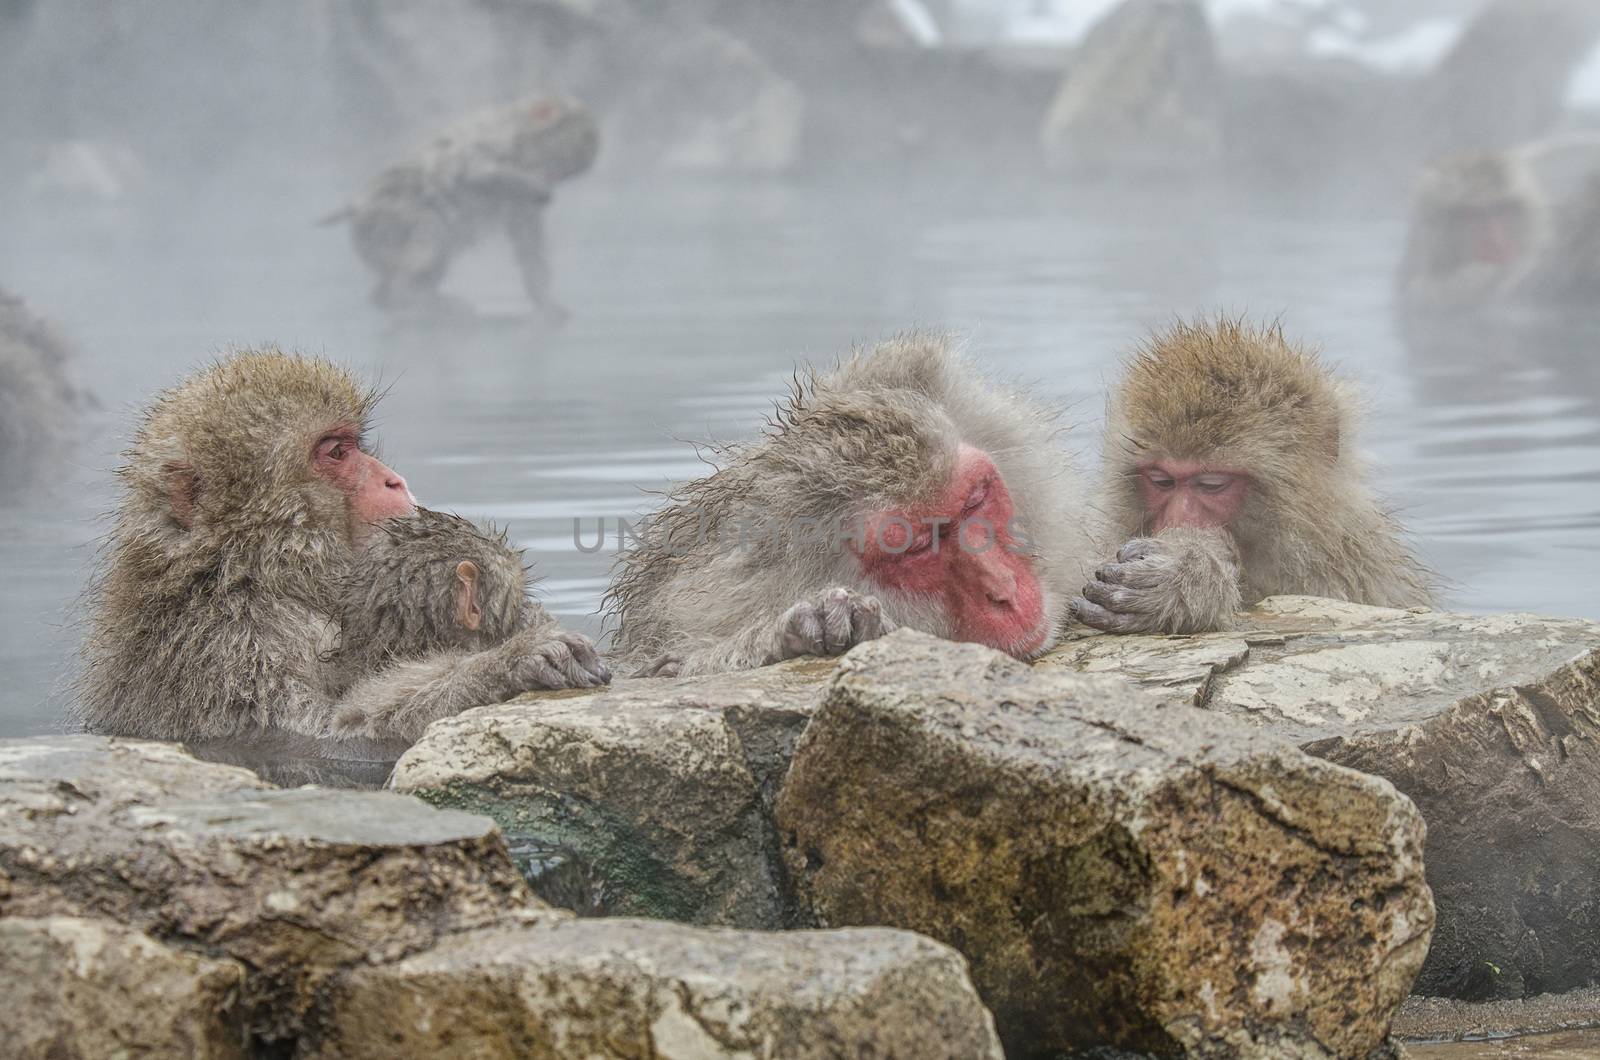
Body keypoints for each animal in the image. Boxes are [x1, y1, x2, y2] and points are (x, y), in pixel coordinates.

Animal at [75, 349, 611, 746]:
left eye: (354, 444)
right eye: (335, 453)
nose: (393, 480)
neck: (243, 570)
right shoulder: (232, 644)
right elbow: (321, 732)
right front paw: (505, 665)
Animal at [318, 94, 601, 320]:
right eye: (584, 138)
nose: (590, 158)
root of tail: (356, 207)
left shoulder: (522, 204)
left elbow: (528, 246)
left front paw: (545, 302)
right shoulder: (492, 141)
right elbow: (474, 174)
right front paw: (539, 188)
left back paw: (395, 300)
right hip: (390, 219)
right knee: (430, 232)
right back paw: (416, 299)